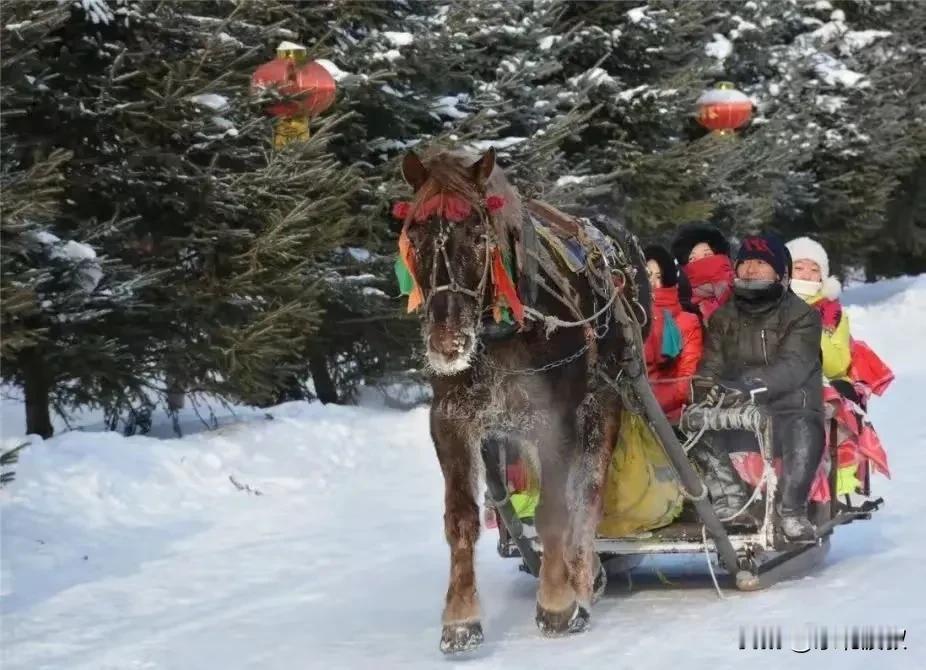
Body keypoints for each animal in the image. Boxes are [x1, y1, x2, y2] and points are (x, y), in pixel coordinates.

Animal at [398, 148, 652, 656]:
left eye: (478, 235)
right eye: (414, 236)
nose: (446, 340)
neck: (503, 330)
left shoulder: (557, 419)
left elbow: (557, 509)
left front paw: (557, 602)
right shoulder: (451, 420)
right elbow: (461, 519)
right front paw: (460, 619)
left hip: (604, 401)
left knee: (588, 492)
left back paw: (582, 579)